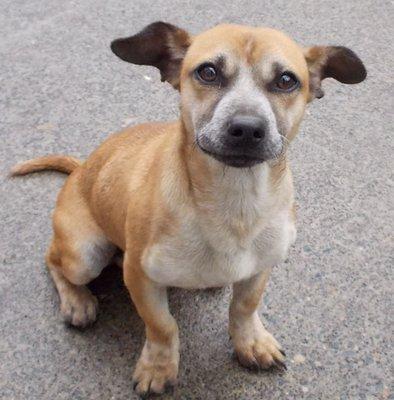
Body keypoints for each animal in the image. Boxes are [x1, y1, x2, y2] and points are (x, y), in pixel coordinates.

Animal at [13, 22, 370, 396]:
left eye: (286, 80)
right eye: (208, 72)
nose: (247, 128)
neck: (234, 200)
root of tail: (81, 168)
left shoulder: (262, 266)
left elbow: (244, 307)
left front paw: (250, 342)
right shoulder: (140, 277)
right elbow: (162, 325)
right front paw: (158, 367)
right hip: (85, 255)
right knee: (53, 261)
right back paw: (77, 301)